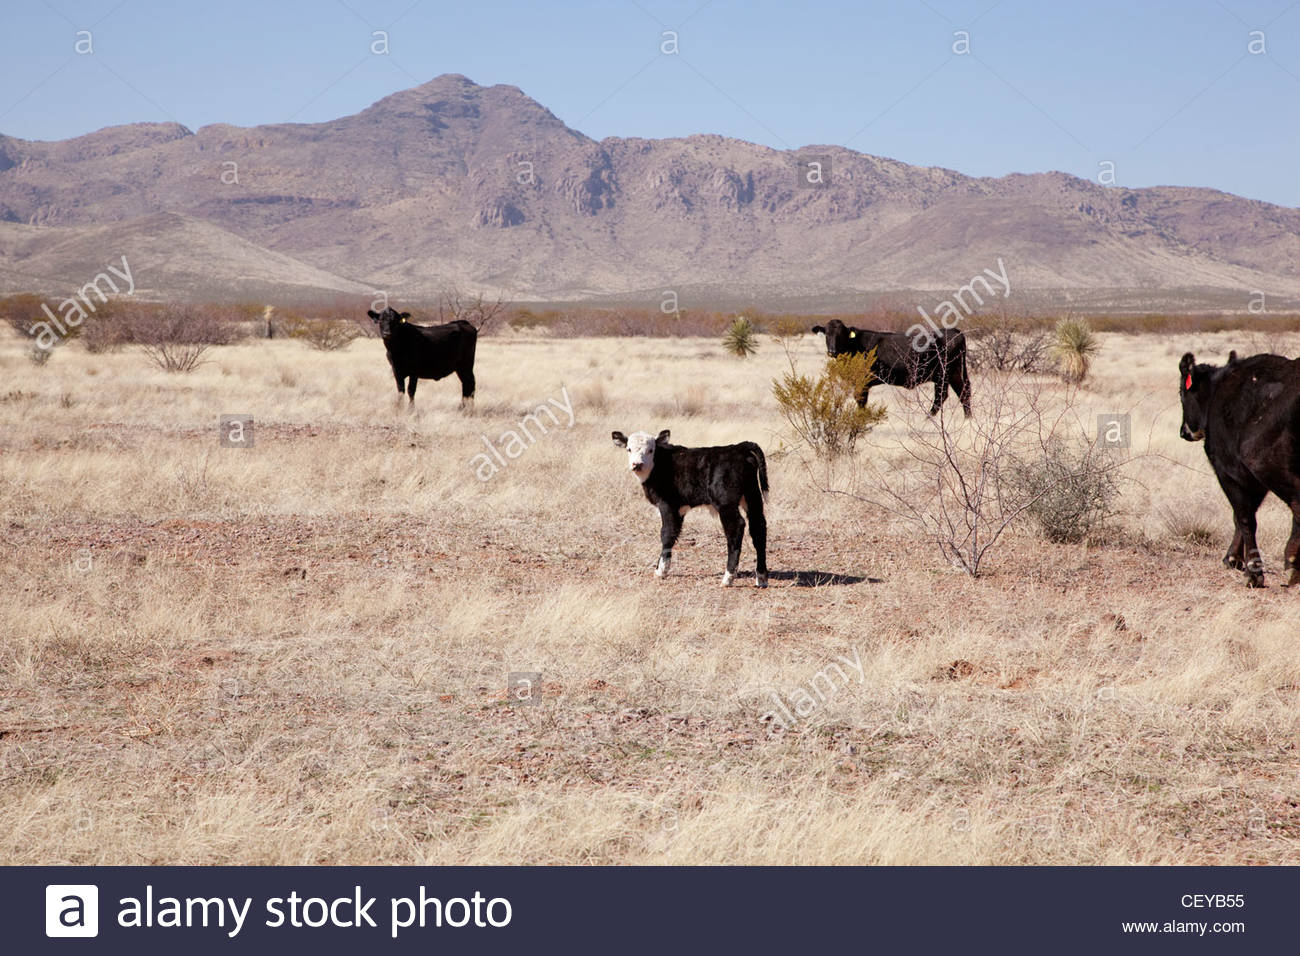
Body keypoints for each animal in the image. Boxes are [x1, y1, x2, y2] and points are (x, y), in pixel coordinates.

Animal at [611, 429, 769, 588]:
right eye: (629, 449)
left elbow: (666, 534)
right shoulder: (679, 510)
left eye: (651, 450)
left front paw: (661, 571)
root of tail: (739, 447)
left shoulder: (667, 505)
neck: (659, 464)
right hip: (753, 497)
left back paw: (728, 578)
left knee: (736, 528)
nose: (637, 464)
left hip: (726, 503)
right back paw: (761, 577)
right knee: (759, 528)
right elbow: (674, 532)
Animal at [811, 318, 971, 416]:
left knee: (942, 396)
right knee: (963, 393)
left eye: (841, 335)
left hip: (943, 374)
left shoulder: (862, 382)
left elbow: (861, 401)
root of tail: (955, 331)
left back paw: (927, 418)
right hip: (955, 373)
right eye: (827, 334)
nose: (832, 351)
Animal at [1179, 350, 1300, 588]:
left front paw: (1253, 571)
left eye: (1180, 393)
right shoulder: (1252, 481)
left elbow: (1244, 517)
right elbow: (1242, 515)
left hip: (1264, 462)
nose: (1183, 431)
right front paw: (1233, 558)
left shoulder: (1229, 472)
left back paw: (1292, 561)